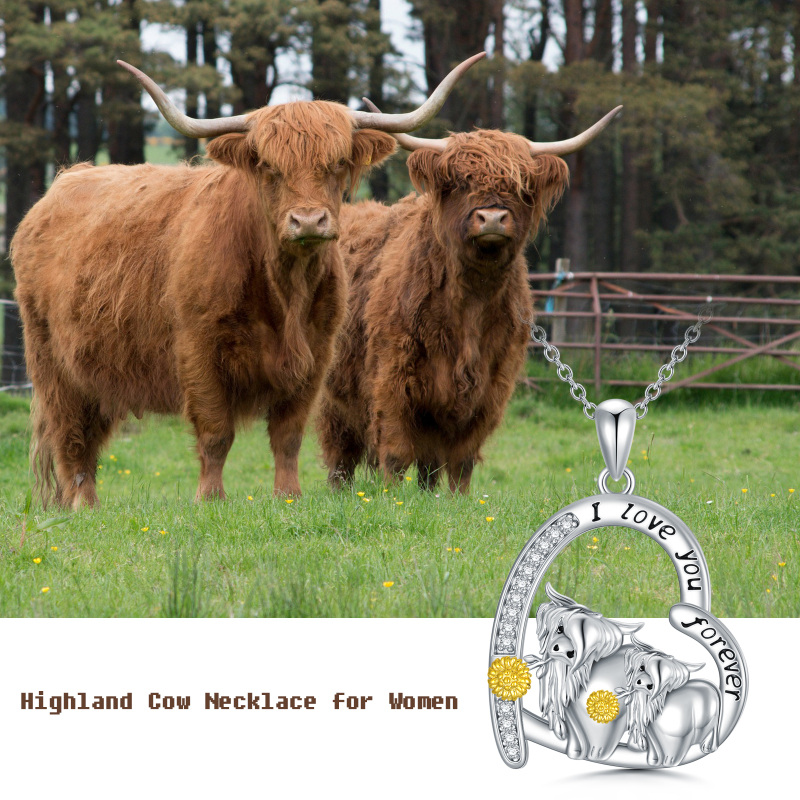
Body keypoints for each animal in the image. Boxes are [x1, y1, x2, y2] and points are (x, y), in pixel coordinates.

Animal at [11, 54, 484, 509]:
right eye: (270, 168)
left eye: (336, 164)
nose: (307, 220)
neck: (285, 290)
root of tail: (62, 183)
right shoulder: (198, 349)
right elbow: (216, 432)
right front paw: (210, 498)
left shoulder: (316, 354)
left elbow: (289, 435)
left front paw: (288, 496)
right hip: (51, 363)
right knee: (70, 436)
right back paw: (82, 505)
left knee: (89, 434)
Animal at [316, 103, 621, 492]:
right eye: (461, 183)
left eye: (521, 186)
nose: (492, 217)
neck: (471, 305)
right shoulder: (393, 378)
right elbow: (396, 452)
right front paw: (389, 498)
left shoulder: (489, 387)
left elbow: (461, 461)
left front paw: (454, 501)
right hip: (333, 395)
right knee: (340, 455)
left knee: (428, 465)